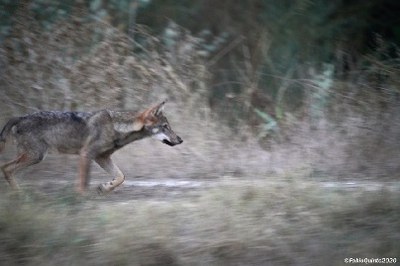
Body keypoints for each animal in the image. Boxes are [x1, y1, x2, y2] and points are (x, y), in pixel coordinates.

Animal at [0, 100, 184, 193]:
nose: (181, 140)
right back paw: (20, 195)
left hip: (35, 157)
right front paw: (82, 198)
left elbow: (121, 176)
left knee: (6, 167)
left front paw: (105, 187)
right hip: (36, 156)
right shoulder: (86, 154)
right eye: (165, 127)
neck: (118, 128)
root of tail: (19, 117)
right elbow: (83, 184)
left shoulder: (102, 157)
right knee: (6, 167)